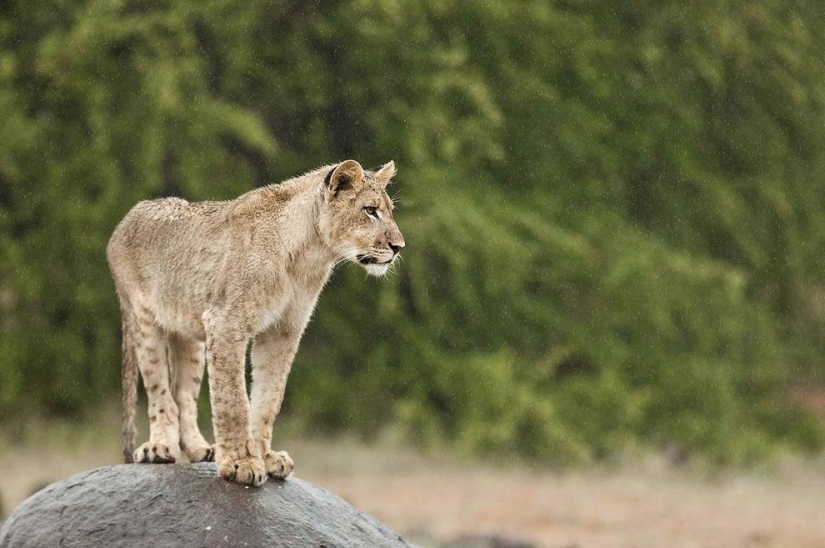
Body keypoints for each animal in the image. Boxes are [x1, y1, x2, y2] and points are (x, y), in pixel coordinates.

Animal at [106, 160, 405, 486]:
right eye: (370, 210)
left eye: (389, 210)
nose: (398, 247)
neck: (307, 256)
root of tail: (128, 217)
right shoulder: (225, 323)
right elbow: (233, 400)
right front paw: (240, 464)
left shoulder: (283, 331)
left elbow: (268, 399)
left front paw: (265, 457)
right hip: (144, 320)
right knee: (160, 391)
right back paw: (160, 448)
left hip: (189, 333)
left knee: (183, 394)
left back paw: (200, 449)